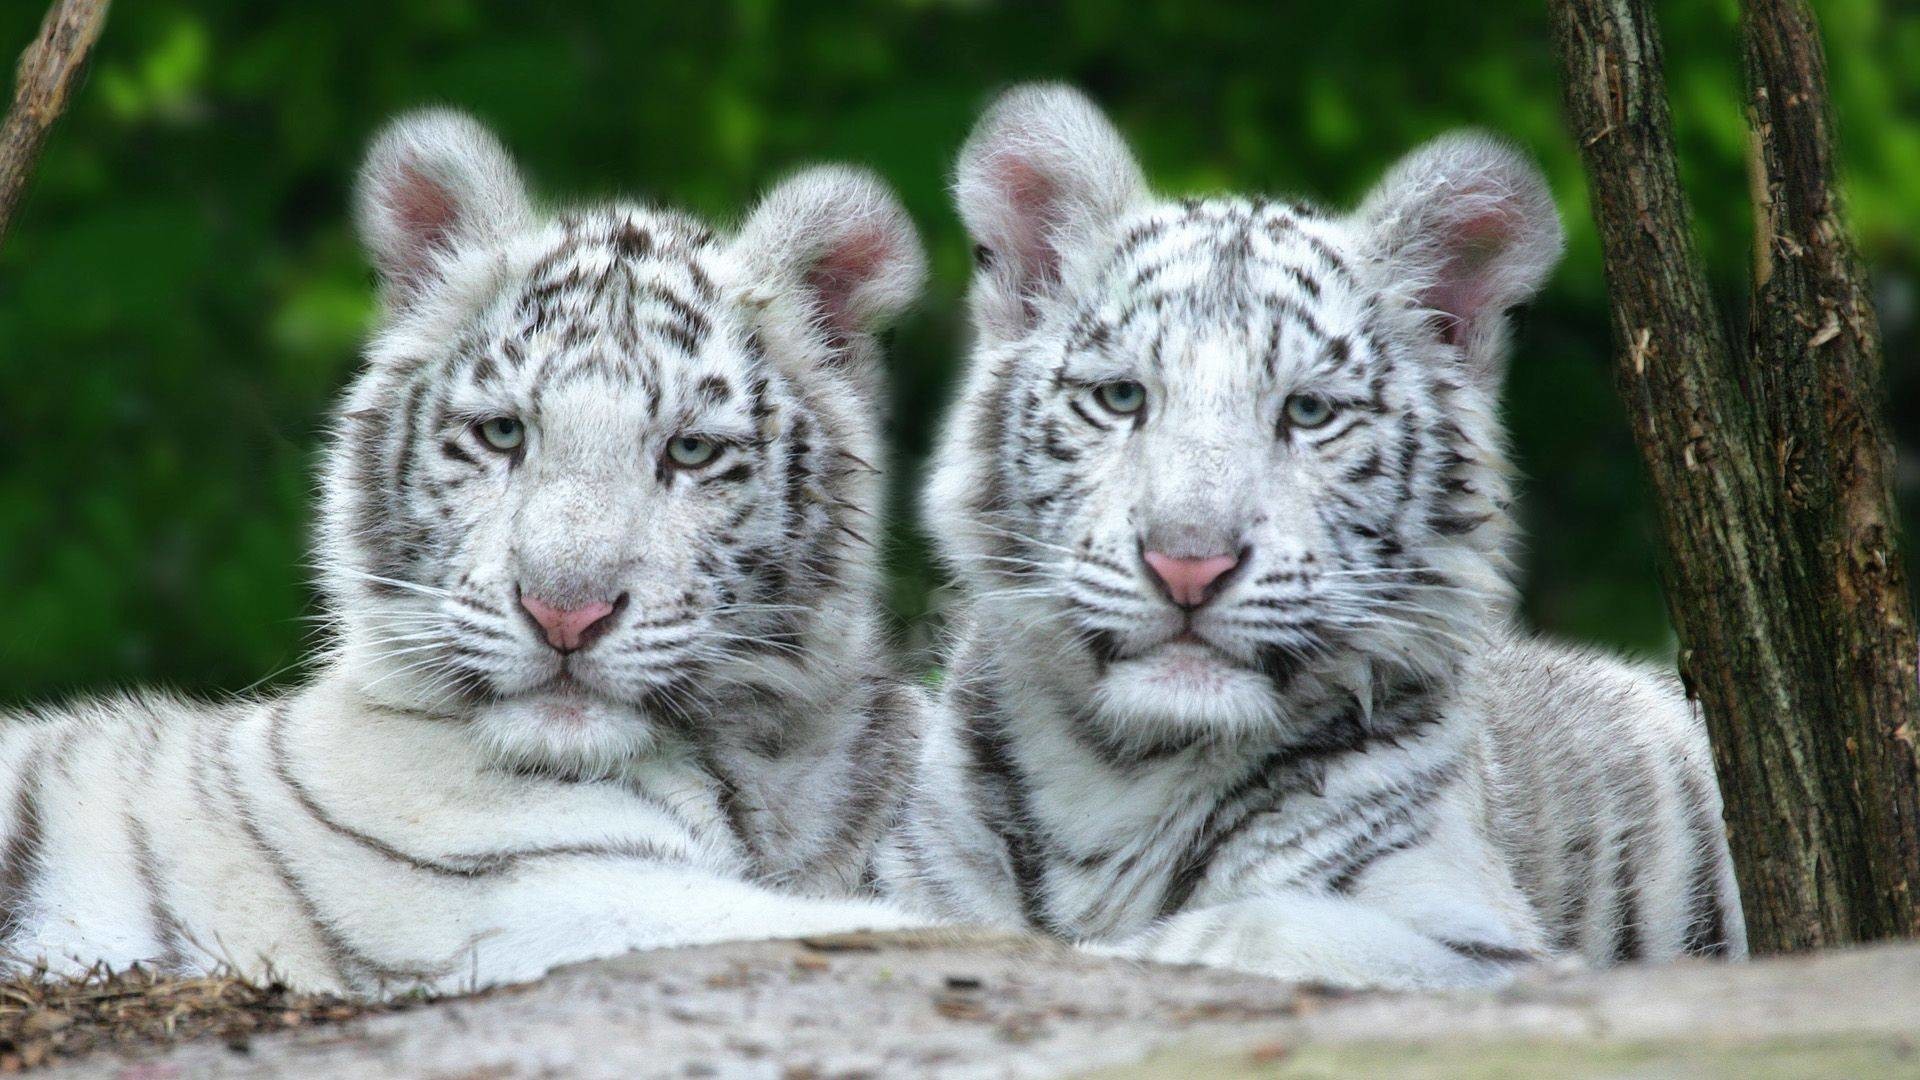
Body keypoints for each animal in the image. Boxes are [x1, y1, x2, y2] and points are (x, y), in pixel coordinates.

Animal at [879, 88, 1751, 991]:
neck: (1120, 774)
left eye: (1308, 412)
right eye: (1122, 397)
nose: (1188, 564)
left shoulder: (1485, 946)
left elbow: (1248, 928)